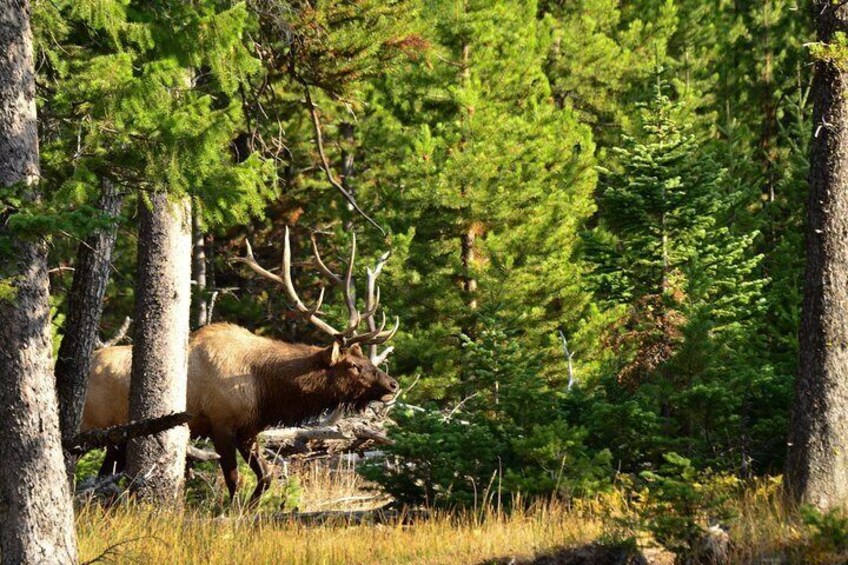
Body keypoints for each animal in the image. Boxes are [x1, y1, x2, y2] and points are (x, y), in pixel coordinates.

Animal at [81, 227, 400, 500]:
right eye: (354, 366)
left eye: (364, 359)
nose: (392, 384)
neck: (264, 388)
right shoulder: (220, 423)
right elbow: (233, 480)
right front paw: (231, 513)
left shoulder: (249, 429)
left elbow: (266, 477)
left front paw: (250, 507)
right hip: (97, 427)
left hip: (117, 438)